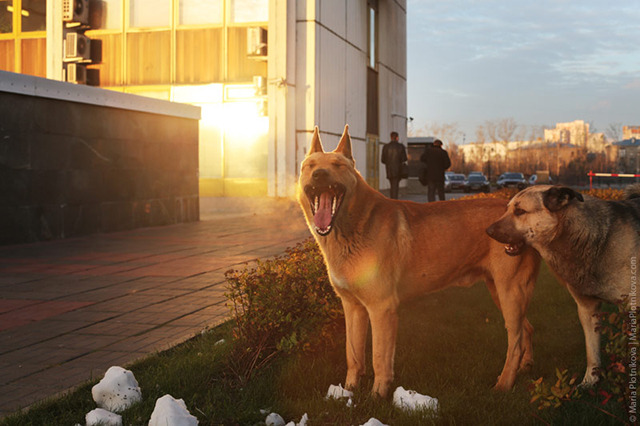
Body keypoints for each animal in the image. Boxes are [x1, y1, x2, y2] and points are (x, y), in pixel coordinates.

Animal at [296, 125, 540, 398]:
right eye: (309, 166)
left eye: (338, 165)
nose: (319, 174)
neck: (350, 230)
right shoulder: (352, 307)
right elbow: (353, 354)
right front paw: (348, 391)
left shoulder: (382, 308)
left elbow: (379, 357)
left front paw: (378, 395)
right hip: (500, 292)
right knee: (526, 329)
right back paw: (525, 368)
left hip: (510, 291)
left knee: (515, 342)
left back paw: (504, 384)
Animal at [488, 183, 636, 386]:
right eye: (507, 209)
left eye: (519, 211)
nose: (487, 231)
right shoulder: (587, 309)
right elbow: (592, 351)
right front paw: (589, 382)